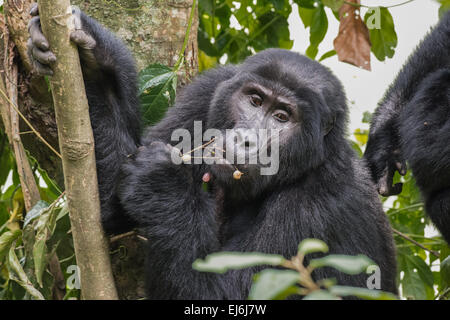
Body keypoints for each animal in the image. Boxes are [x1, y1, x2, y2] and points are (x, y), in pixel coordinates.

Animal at [28, 3, 396, 298]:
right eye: (255, 100)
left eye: (282, 117)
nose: (246, 139)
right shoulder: (208, 93)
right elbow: (110, 207)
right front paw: (94, 59)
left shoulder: (323, 200)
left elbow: (221, 292)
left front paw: (162, 186)